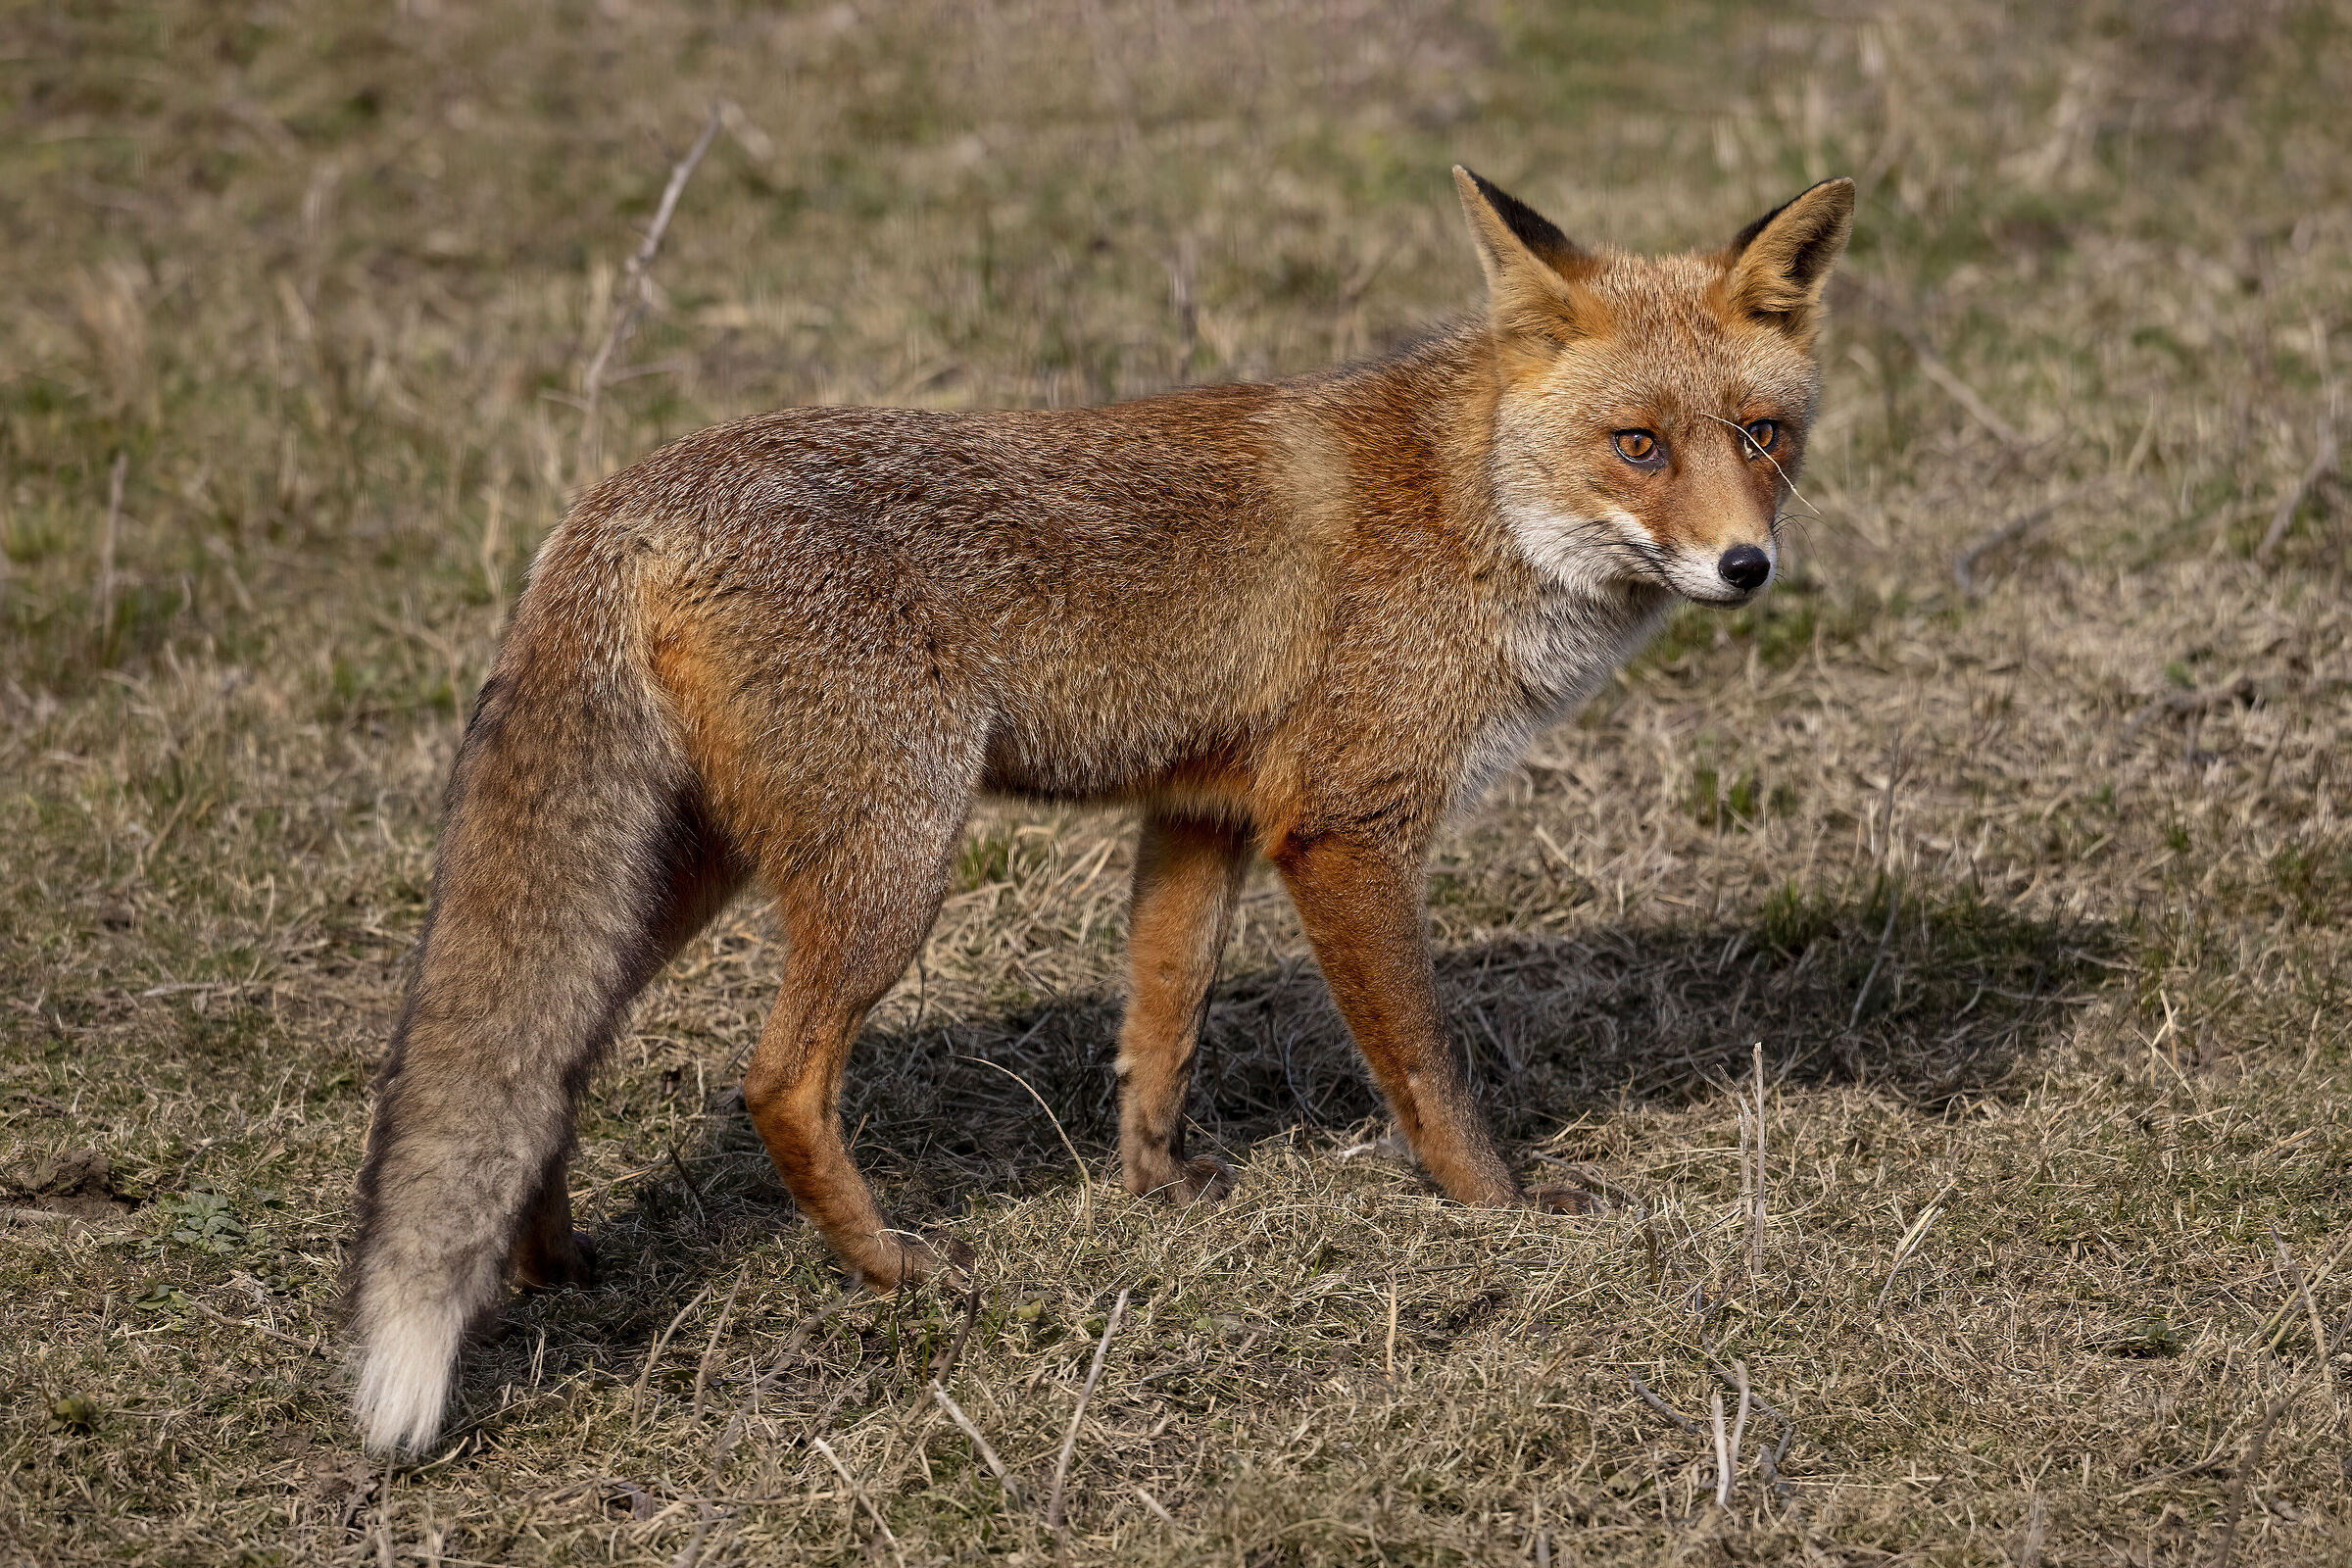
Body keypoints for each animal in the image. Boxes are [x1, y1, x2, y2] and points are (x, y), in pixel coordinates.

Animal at [346, 167, 1853, 1454]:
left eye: (1762, 436)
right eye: (1638, 445)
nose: (1747, 566)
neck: (1471, 503)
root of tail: (623, 494)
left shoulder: (1205, 815)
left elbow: (1162, 1021)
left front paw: (1154, 1190)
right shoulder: (1343, 830)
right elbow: (1428, 1069)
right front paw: (1506, 1211)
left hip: (704, 861)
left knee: (554, 1051)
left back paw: (550, 1262)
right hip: (895, 859)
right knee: (775, 1081)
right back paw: (893, 1271)